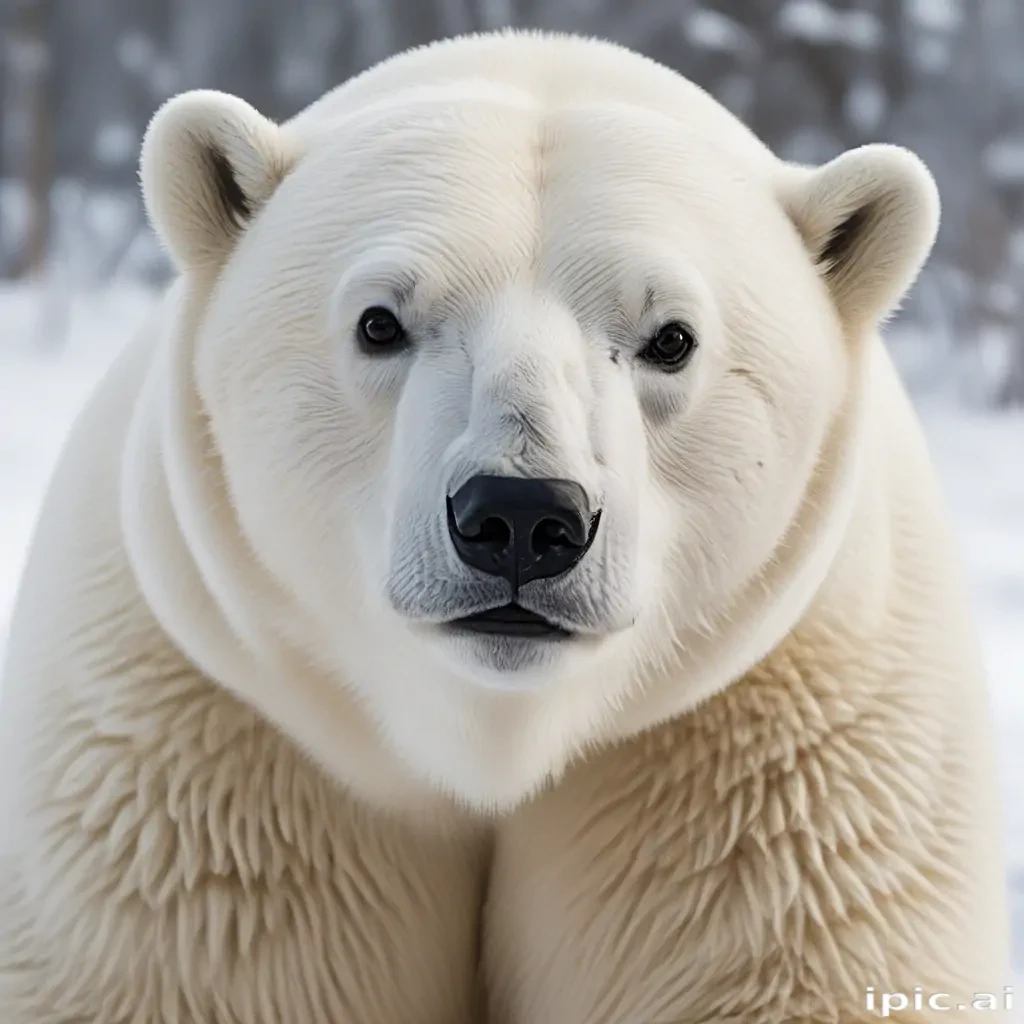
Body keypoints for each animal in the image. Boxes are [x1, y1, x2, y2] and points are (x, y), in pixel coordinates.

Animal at [0, 26, 1011, 1024]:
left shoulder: (774, 761)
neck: (494, 737)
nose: (522, 519)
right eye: (379, 322)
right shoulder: (218, 733)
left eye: (672, 338)